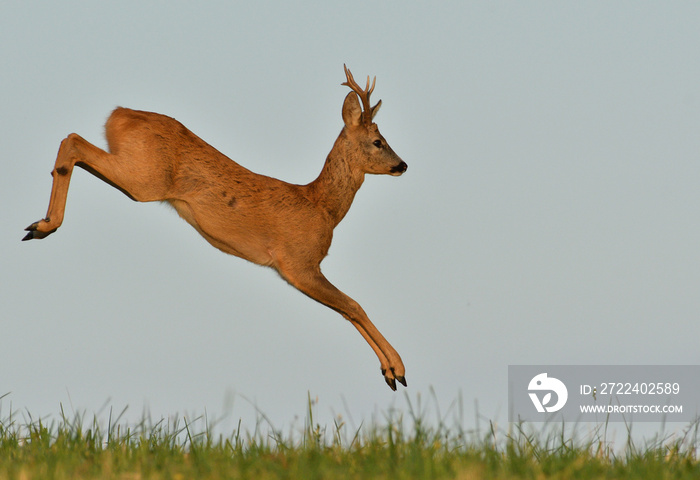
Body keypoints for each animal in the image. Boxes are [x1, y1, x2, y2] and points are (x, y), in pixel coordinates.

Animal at [21, 65, 408, 390]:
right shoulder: (298, 263)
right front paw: (397, 371)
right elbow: (354, 306)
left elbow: (347, 310)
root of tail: (119, 114)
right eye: (378, 142)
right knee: (72, 139)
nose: (402, 165)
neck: (323, 206)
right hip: (145, 180)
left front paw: (390, 372)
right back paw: (44, 225)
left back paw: (38, 225)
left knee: (76, 148)